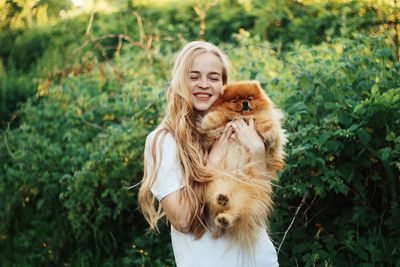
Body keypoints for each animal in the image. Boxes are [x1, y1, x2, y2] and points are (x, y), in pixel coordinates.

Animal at [198, 80, 286, 250]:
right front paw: (208, 121)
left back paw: (224, 217)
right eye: (236, 100)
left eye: (249, 98)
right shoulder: (211, 139)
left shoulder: (270, 146)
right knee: (218, 202)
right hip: (213, 185)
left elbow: (266, 123)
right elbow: (219, 114)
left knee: (235, 211)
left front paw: (269, 130)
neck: (243, 118)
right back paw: (222, 200)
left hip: (246, 194)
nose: (245, 103)